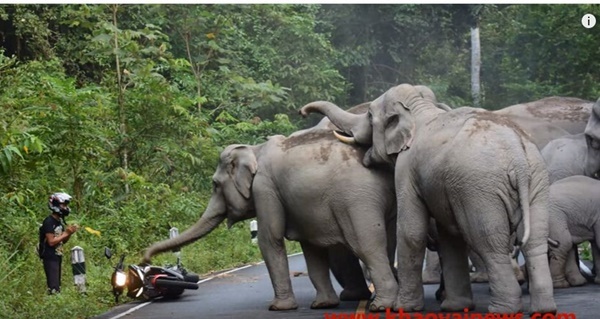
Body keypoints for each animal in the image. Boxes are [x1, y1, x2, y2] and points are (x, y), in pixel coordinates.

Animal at [142, 125, 398, 312]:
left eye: (214, 184)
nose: (145, 259)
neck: (254, 150)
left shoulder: (265, 188)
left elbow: (269, 239)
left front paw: (278, 308)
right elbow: (311, 249)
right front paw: (322, 305)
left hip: (356, 200)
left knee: (367, 245)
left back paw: (380, 306)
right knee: (388, 243)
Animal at [300, 83, 556, 316]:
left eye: (371, 116)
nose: (302, 111)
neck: (419, 109)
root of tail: (517, 157)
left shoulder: (406, 169)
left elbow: (411, 231)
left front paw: (403, 308)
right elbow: (448, 237)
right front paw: (454, 307)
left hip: (481, 189)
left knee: (489, 242)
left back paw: (502, 310)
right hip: (537, 181)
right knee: (535, 241)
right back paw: (544, 309)